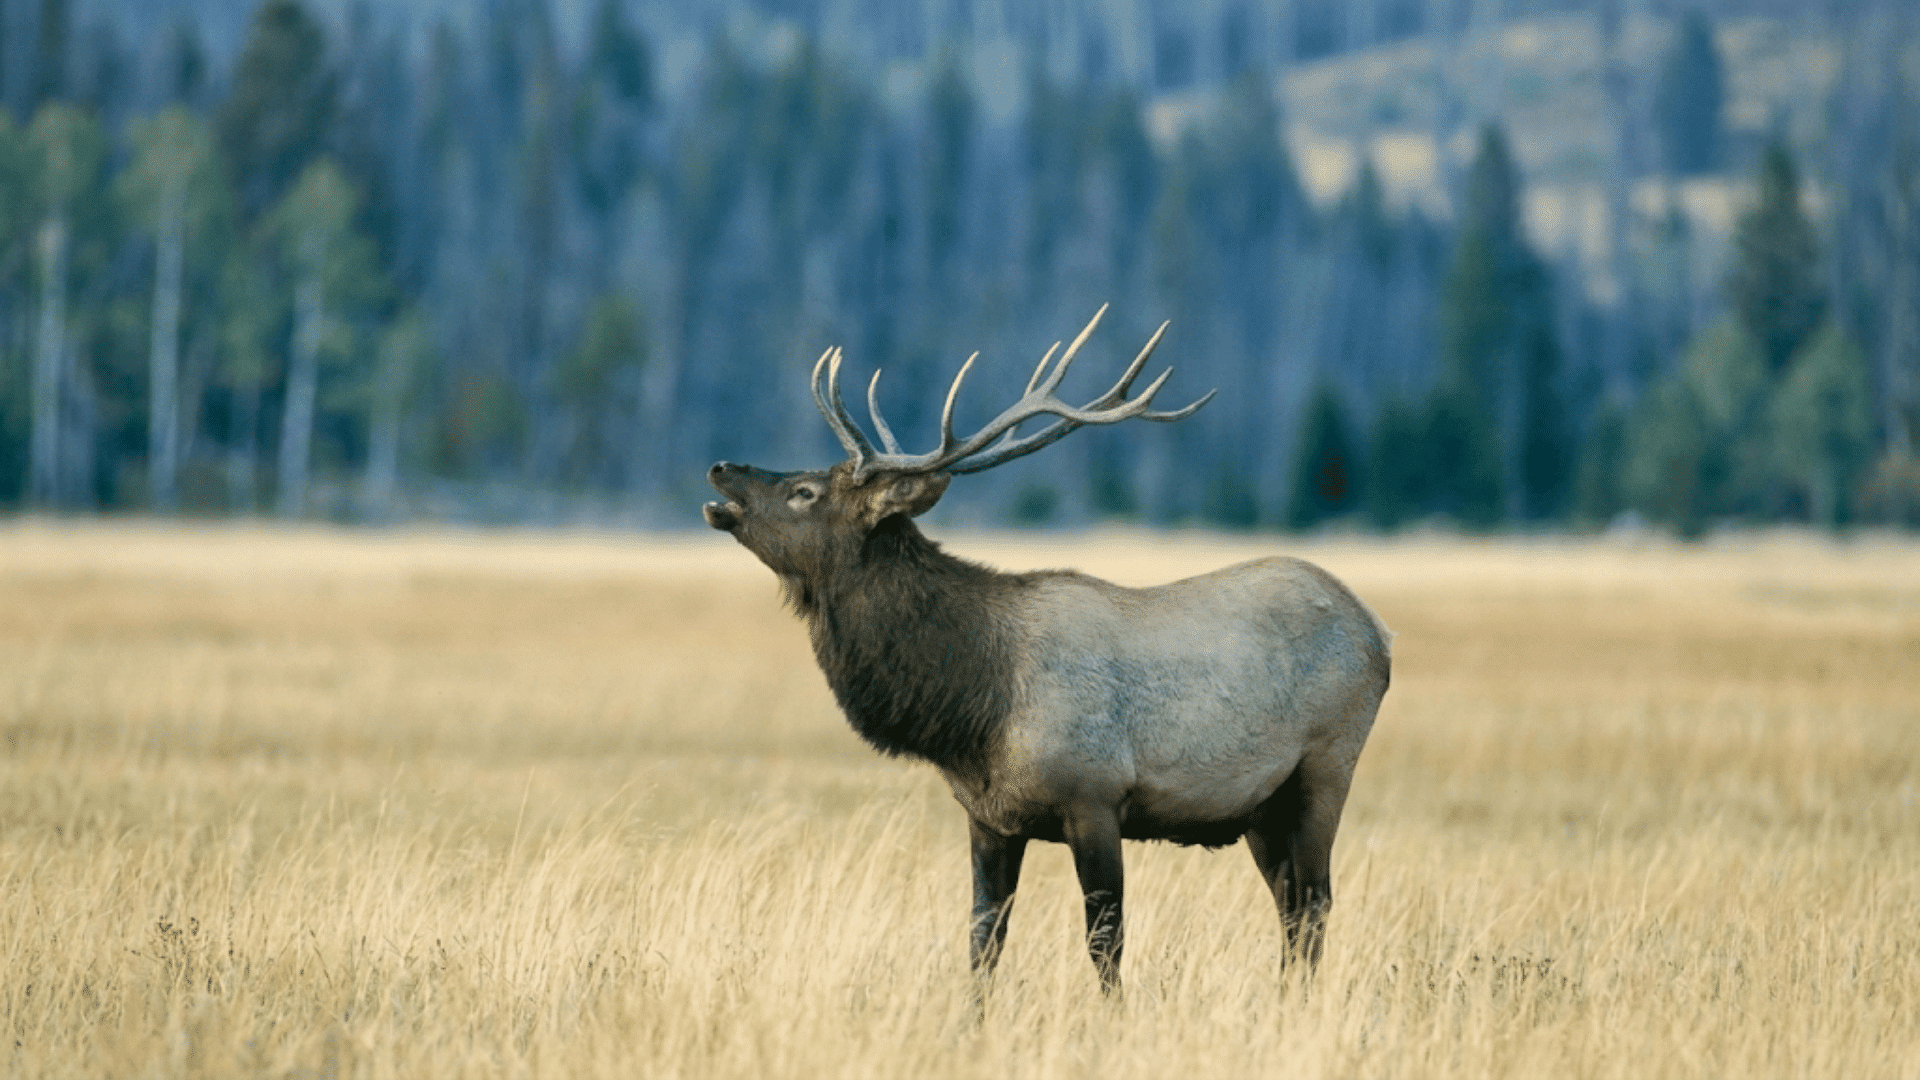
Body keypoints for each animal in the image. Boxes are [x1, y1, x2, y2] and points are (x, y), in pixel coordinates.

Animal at [702, 307, 1390, 995]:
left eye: (805, 491)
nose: (719, 468)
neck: (973, 711)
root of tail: (1378, 630)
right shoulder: (988, 818)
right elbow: (983, 941)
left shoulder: (1094, 797)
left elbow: (1105, 941)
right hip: (1260, 808)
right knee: (1290, 904)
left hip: (1325, 765)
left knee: (1314, 901)